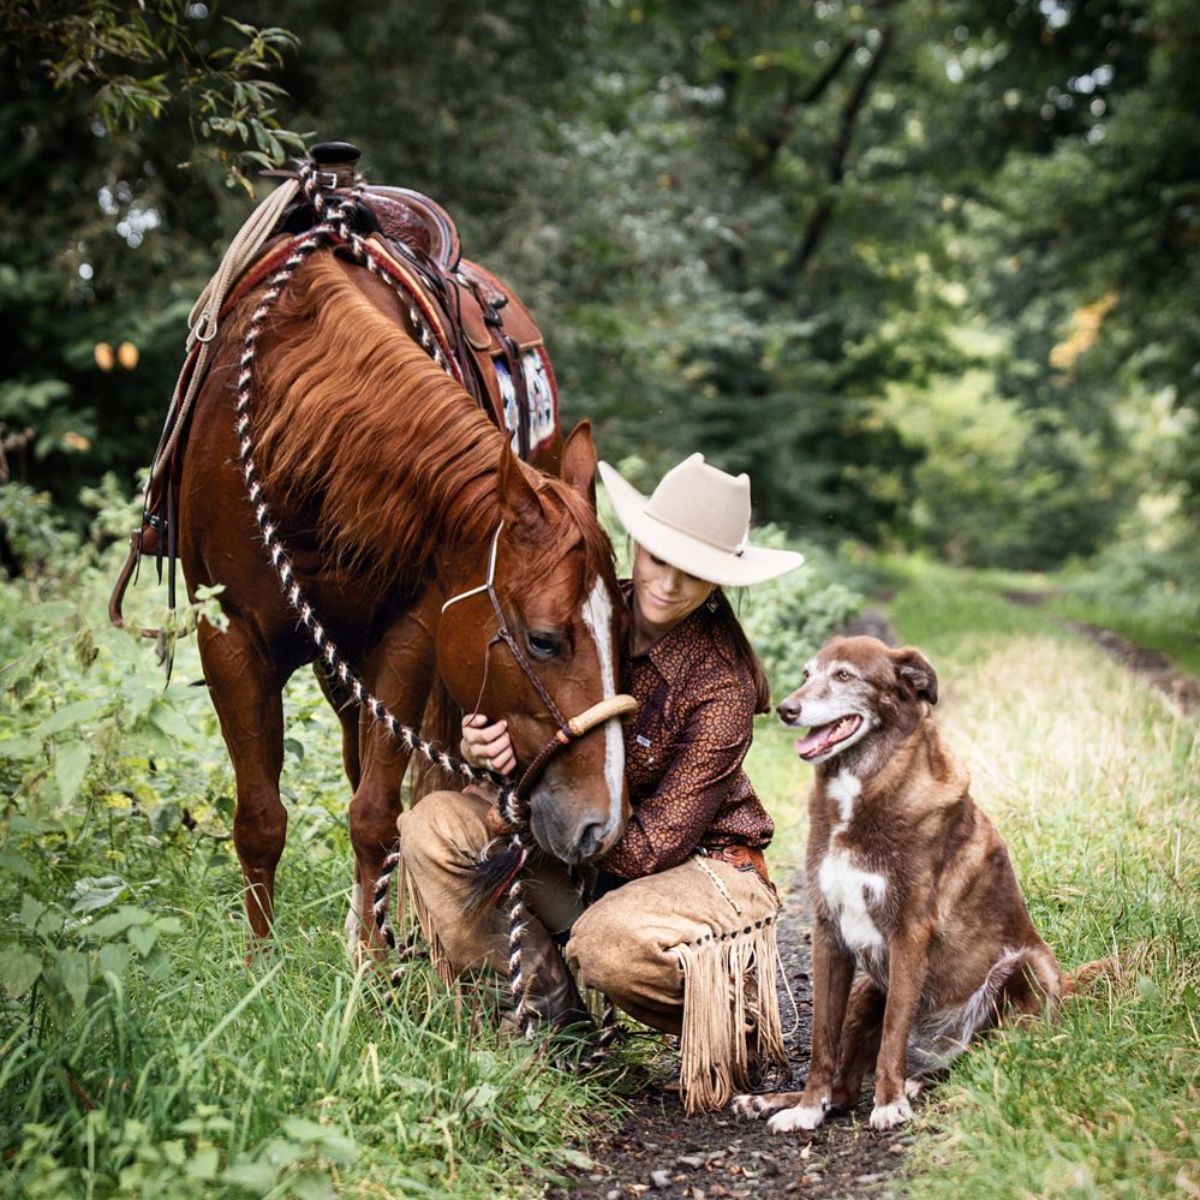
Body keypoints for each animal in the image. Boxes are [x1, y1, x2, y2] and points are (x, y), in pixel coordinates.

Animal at [182, 253, 633, 940]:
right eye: (542, 640)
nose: (602, 826)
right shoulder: (228, 637)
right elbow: (259, 819)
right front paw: (262, 958)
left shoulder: (411, 633)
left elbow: (374, 814)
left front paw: (371, 957)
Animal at [734, 638, 1065, 1132]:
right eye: (808, 674)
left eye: (844, 676)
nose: (787, 709)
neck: (860, 789)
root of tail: (937, 1048)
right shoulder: (829, 933)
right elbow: (822, 1044)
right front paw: (805, 1110)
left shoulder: (909, 932)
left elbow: (893, 1033)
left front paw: (889, 1104)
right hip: (866, 989)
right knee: (844, 1090)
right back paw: (770, 1102)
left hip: (1024, 968)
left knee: (978, 1056)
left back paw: (916, 1084)